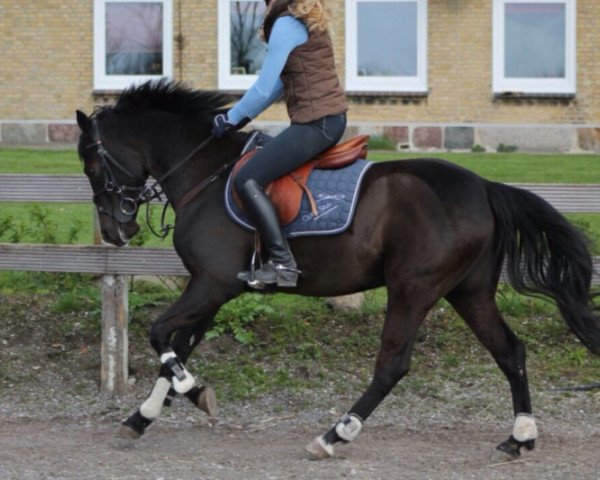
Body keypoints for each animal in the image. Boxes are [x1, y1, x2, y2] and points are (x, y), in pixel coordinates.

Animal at [75, 79, 600, 462]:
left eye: (91, 163)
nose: (117, 229)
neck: (205, 172)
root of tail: (485, 187)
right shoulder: (215, 290)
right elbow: (177, 345)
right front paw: (143, 416)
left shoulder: (211, 284)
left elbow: (159, 334)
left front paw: (192, 389)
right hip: (469, 292)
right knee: (510, 351)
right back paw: (520, 436)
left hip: (413, 289)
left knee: (393, 365)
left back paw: (335, 435)